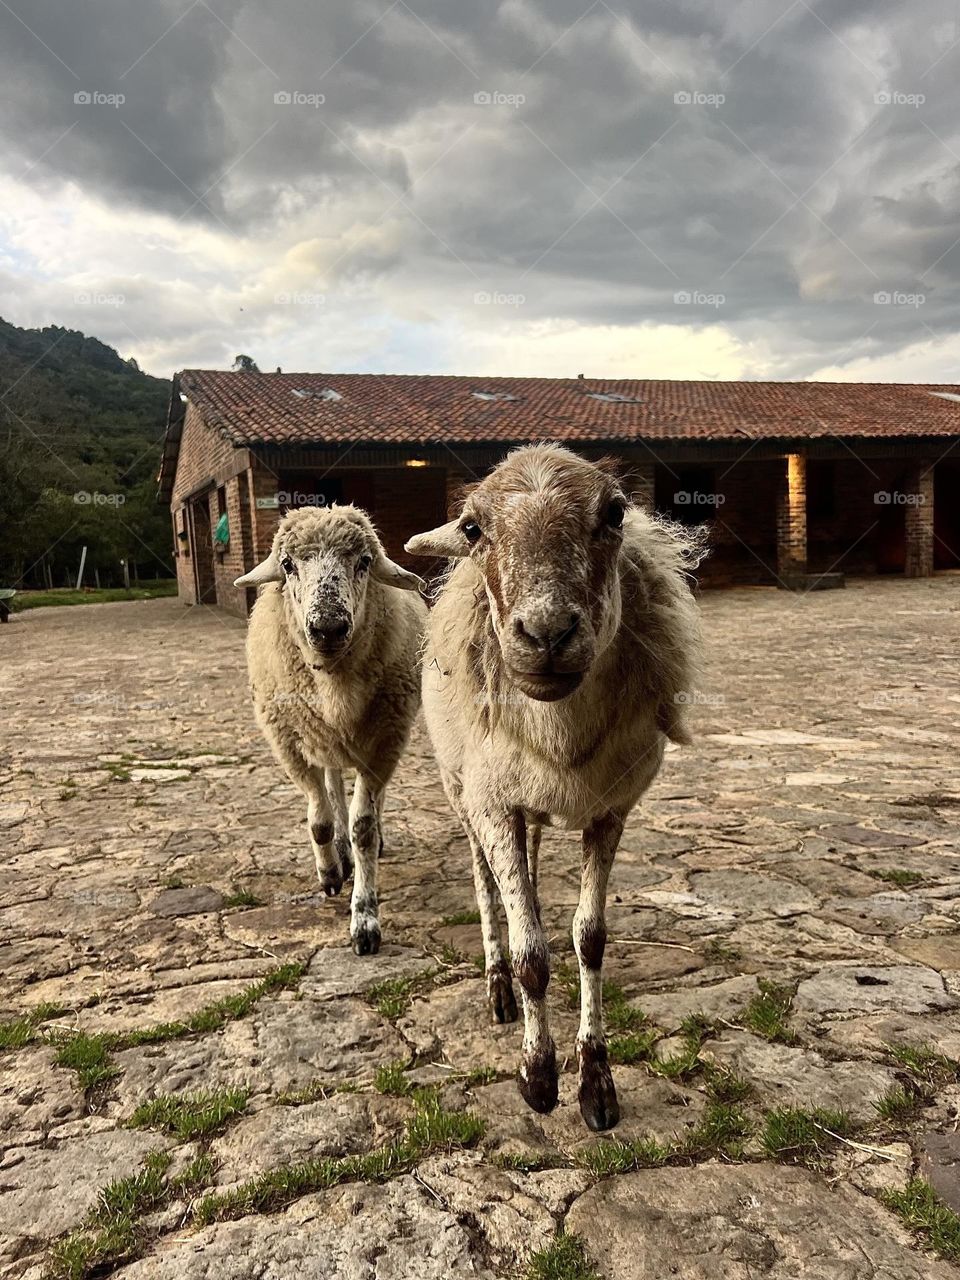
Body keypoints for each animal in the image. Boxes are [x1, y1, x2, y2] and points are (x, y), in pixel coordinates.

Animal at [235, 504, 427, 957]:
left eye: (365, 561)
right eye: (288, 564)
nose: (328, 628)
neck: (333, 685)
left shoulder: (385, 742)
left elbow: (363, 828)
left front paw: (365, 919)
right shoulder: (286, 742)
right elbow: (320, 818)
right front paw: (330, 875)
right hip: (323, 740)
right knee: (334, 784)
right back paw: (337, 851)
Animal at [407, 445, 706, 1126]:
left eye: (615, 513)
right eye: (472, 528)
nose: (546, 633)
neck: (561, 736)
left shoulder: (611, 810)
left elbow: (589, 941)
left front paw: (596, 1083)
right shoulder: (494, 806)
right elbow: (532, 957)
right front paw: (538, 1077)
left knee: (531, 874)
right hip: (463, 794)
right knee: (487, 887)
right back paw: (498, 988)